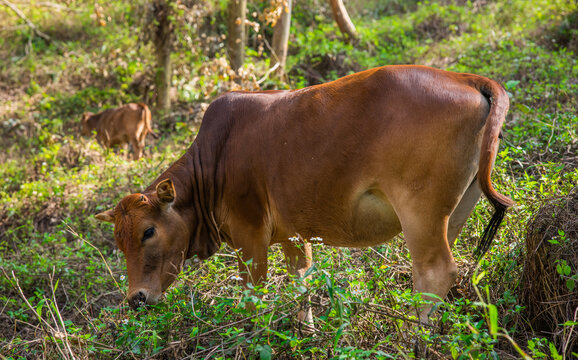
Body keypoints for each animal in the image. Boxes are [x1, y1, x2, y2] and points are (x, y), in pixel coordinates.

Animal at [95, 65, 512, 324]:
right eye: (118, 241)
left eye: (148, 231)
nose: (135, 298)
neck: (212, 164)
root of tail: (466, 79)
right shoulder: (293, 235)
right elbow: (302, 284)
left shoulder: (250, 237)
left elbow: (253, 296)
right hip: (455, 209)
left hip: (419, 211)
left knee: (434, 272)